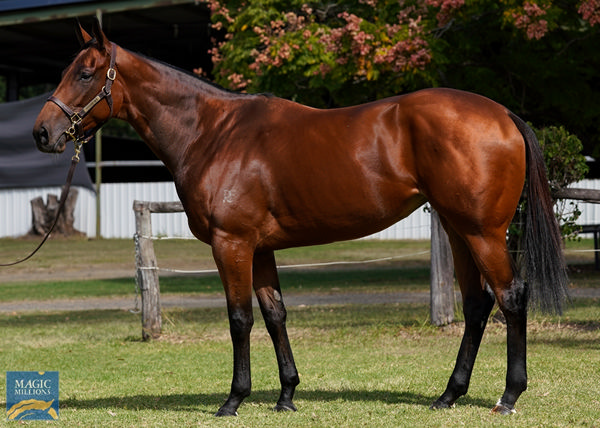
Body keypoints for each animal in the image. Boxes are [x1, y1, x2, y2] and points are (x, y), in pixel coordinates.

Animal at [32, 21, 568, 416]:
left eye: (85, 74)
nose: (42, 132)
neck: (213, 132)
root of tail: (503, 114)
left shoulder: (232, 244)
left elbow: (240, 319)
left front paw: (233, 400)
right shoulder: (260, 248)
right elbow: (275, 315)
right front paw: (287, 395)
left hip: (483, 232)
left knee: (511, 297)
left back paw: (508, 396)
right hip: (458, 230)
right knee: (478, 304)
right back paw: (448, 395)